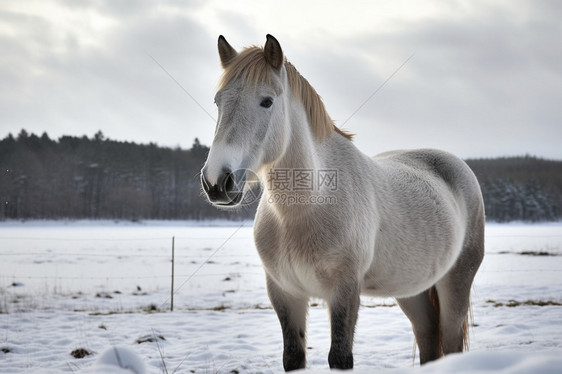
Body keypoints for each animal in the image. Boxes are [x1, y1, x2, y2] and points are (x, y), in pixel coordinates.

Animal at [200, 35, 482, 372]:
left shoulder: (344, 291)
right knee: (429, 341)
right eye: (218, 101)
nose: (217, 181)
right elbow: (292, 357)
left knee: (451, 341)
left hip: (456, 281)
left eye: (266, 101)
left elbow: (340, 357)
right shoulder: (285, 293)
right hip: (411, 291)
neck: (304, 209)